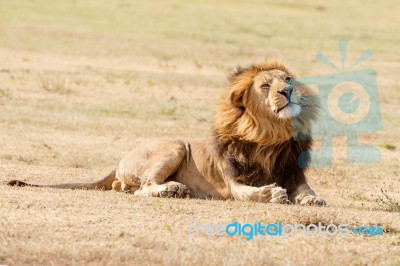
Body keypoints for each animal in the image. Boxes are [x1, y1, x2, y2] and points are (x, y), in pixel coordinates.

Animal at [7, 59, 326, 206]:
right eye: (265, 85)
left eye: (288, 79)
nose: (288, 91)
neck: (267, 137)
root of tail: (119, 160)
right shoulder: (234, 183)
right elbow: (251, 194)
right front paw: (272, 194)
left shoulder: (293, 173)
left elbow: (307, 190)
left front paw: (311, 199)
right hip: (175, 146)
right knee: (143, 188)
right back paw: (171, 189)